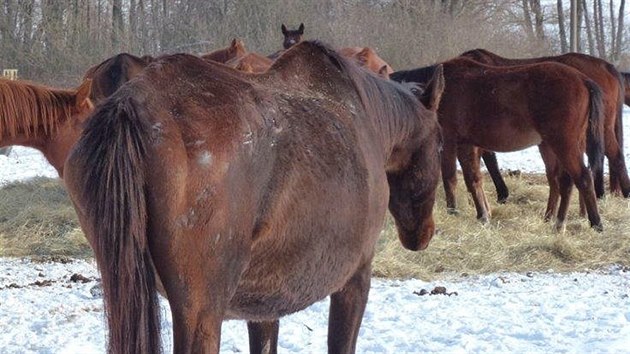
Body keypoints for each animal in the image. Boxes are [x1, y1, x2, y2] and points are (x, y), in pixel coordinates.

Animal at [60, 40, 444, 352]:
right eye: (440, 145)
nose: (423, 234)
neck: (368, 120)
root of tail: (130, 108)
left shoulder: (263, 304)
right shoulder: (356, 277)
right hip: (201, 312)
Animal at [396, 56, 608, 231]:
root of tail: (582, 79)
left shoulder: (448, 141)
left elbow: (450, 178)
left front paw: (453, 211)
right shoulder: (467, 145)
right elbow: (473, 179)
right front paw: (482, 215)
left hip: (563, 144)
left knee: (582, 178)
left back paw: (592, 223)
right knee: (564, 182)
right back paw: (556, 221)